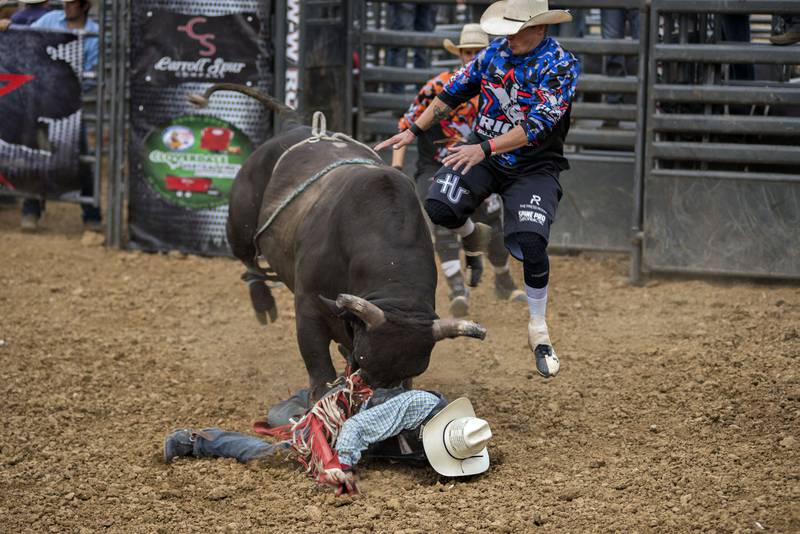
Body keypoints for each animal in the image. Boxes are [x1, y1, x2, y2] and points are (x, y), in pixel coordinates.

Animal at [190, 85, 488, 402]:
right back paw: (262, 300)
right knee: (248, 259)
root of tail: (297, 125)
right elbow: (316, 355)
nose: (377, 396)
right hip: (239, 218)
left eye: (414, 371)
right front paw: (322, 393)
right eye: (367, 359)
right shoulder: (308, 303)